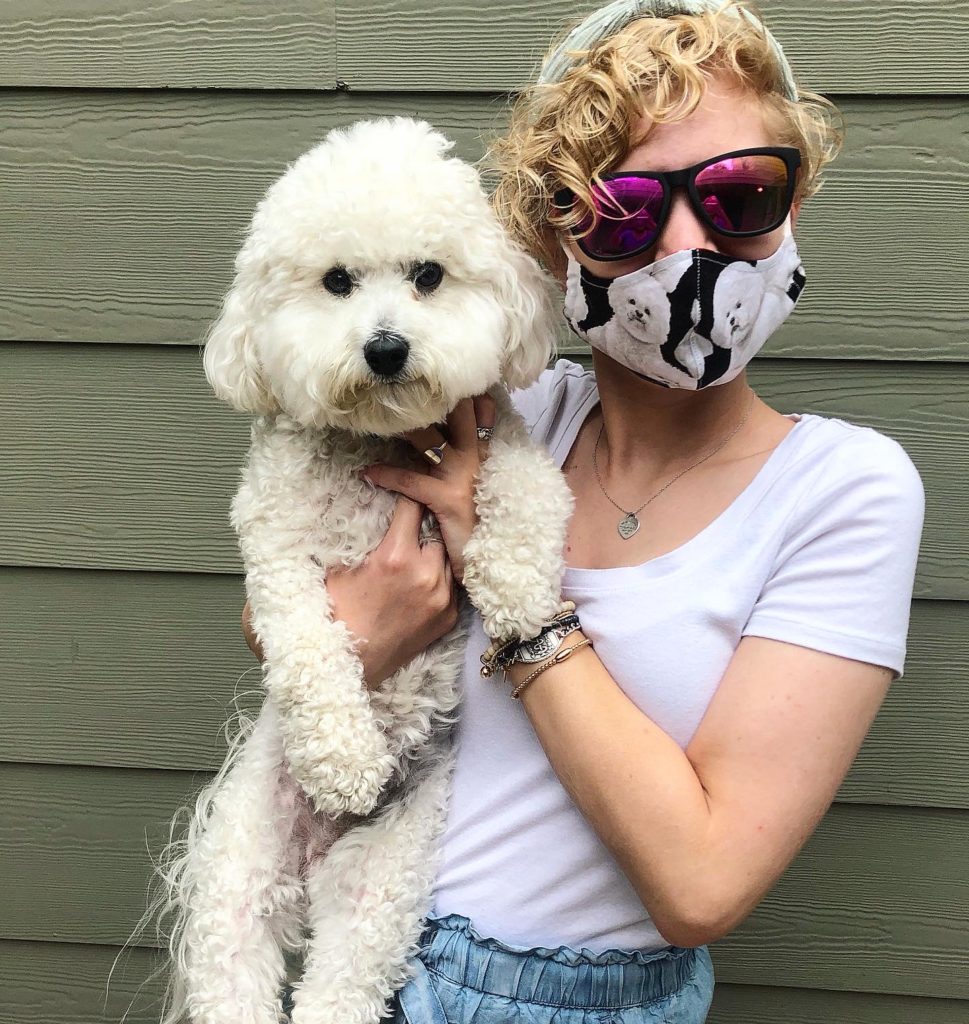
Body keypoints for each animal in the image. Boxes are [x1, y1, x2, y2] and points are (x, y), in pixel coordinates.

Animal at [153, 114, 569, 1024]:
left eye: (428, 276)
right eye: (336, 281)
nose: (385, 348)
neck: (379, 446)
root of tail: (314, 867)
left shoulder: (506, 441)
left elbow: (526, 496)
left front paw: (520, 592)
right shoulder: (273, 548)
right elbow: (310, 646)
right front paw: (343, 759)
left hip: (385, 878)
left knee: (342, 980)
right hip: (242, 871)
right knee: (235, 970)